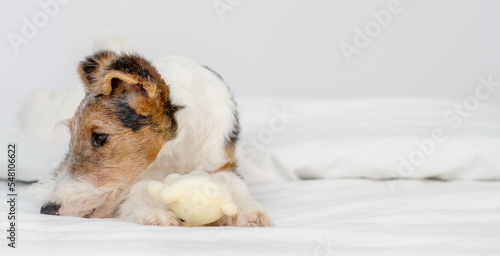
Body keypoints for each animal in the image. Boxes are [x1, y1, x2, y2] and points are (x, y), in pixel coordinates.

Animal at [36, 51, 272, 227]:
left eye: (100, 136)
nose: (47, 209)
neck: (178, 142)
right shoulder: (144, 172)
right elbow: (143, 187)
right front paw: (156, 214)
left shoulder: (221, 161)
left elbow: (234, 183)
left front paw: (248, 212)